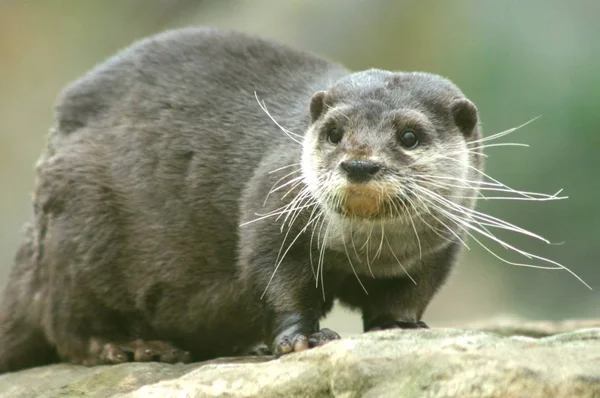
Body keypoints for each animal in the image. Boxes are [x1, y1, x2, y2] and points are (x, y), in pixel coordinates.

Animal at [0, 26, 482, 372]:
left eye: (409, 136)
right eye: (334, 133)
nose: (359, 165)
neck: (369, 255)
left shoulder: (439, 251)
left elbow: (409, 294)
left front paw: (399, 326)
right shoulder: (271, 212)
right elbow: (277, 282)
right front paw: (302, 340)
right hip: (79, 227)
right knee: (67, 324)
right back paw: (131, 347)